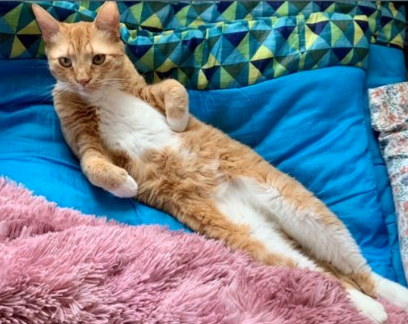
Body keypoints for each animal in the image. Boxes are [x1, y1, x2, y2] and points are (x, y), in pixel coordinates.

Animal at [33, 1, 408, 322]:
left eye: (97, 59)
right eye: (66, 62)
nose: (83, 80)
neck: (100, 95)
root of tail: (265, 217)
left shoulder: (146, 91)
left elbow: (174, 88)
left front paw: (177, 122)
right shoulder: (85, 142)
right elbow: (94, 167)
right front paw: (125, 184)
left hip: (305, 210)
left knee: (361, 271)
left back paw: (394, 295)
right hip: (258, 242)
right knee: (331, 277)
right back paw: (371, 308)